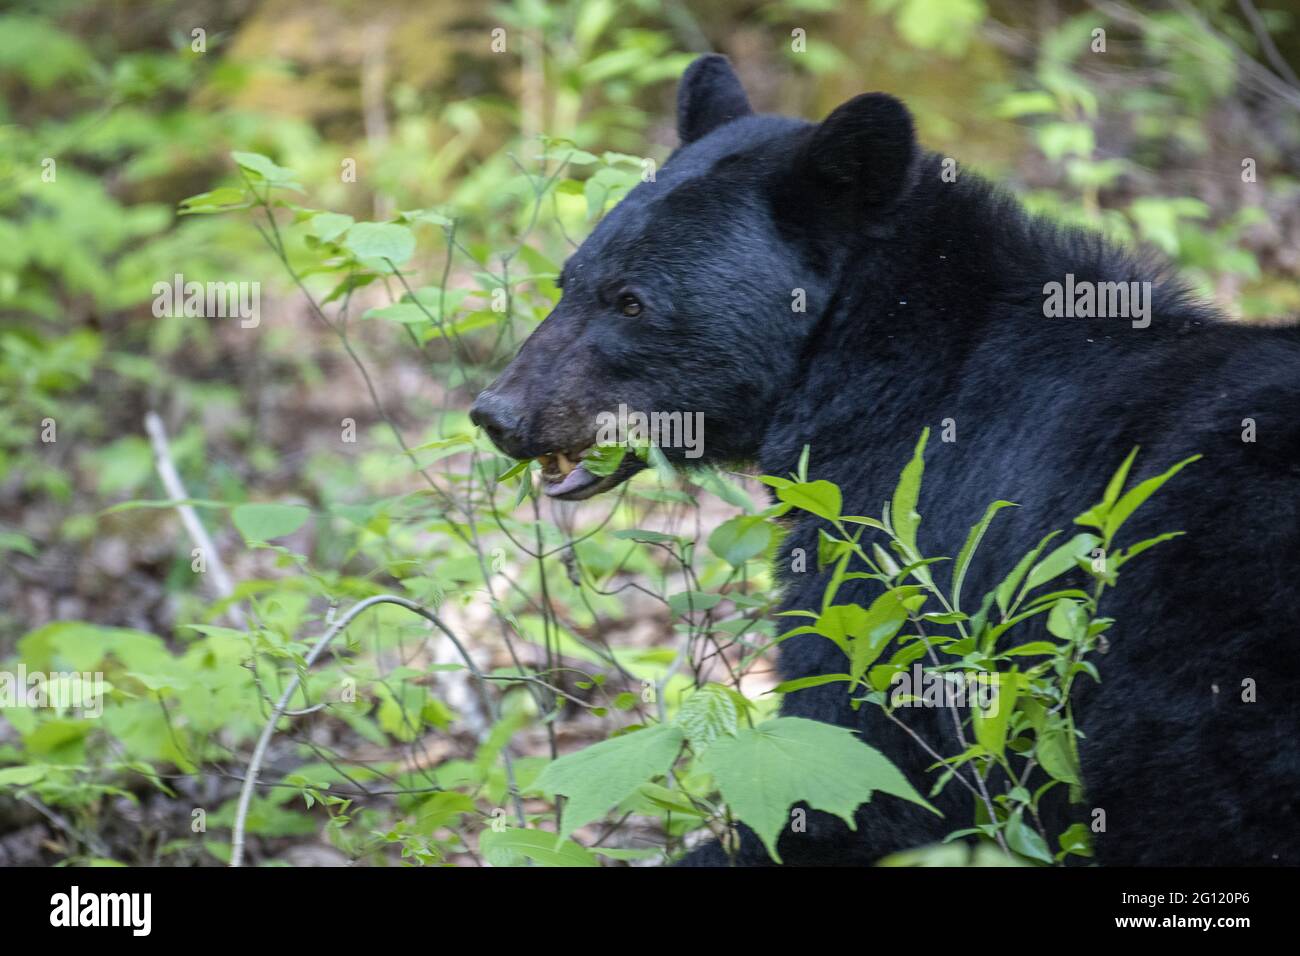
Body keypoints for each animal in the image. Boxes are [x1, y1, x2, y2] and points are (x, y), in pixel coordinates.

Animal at [471, 54, 1300, 866]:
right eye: (568, 280)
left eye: (632, 302)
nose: (497, 414)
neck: (879, 364)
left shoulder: (901, 553)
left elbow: (855, 763)